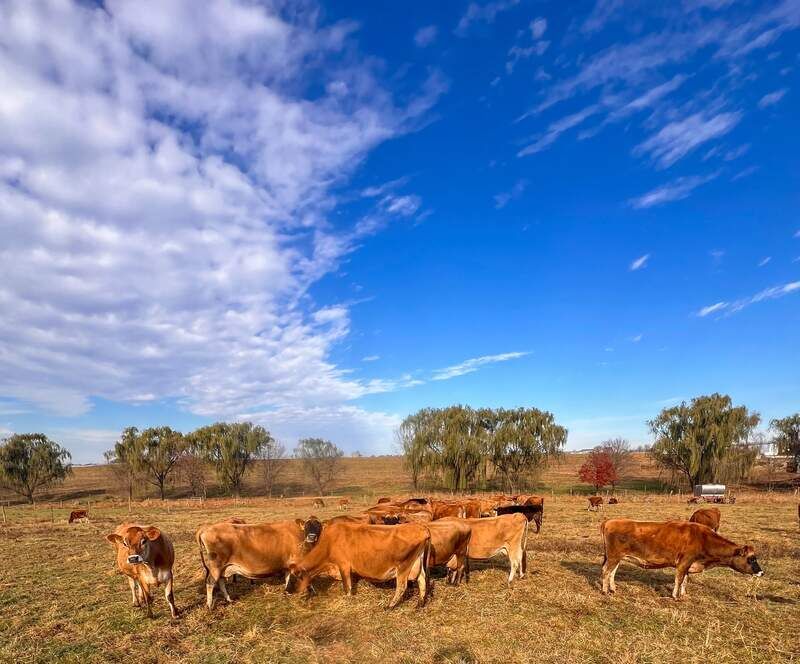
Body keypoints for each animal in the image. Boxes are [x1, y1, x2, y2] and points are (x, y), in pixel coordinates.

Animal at [288, 521, 431, 608]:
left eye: (294, 578)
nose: (288, 592)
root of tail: (420, 527)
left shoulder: (343, 565)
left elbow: (347, 587)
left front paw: (348, 600)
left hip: (403, 566)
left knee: (402, 586)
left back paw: (389, 606)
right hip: (416, 563)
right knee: (422, 580)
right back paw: (420, 604)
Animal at [600, 518, 763, 600]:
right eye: (751, 559)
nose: (762, 572)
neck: (704, 539)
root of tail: (610, 521)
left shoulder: (689, 565)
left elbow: (685, 580)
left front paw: (683, 594)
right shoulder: (684, 563)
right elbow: (679, 580)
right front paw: (675, 596)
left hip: (617, 557)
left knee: (612, 572)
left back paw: (613, 589)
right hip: (614, 556)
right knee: (606, 571)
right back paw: (604, 591)